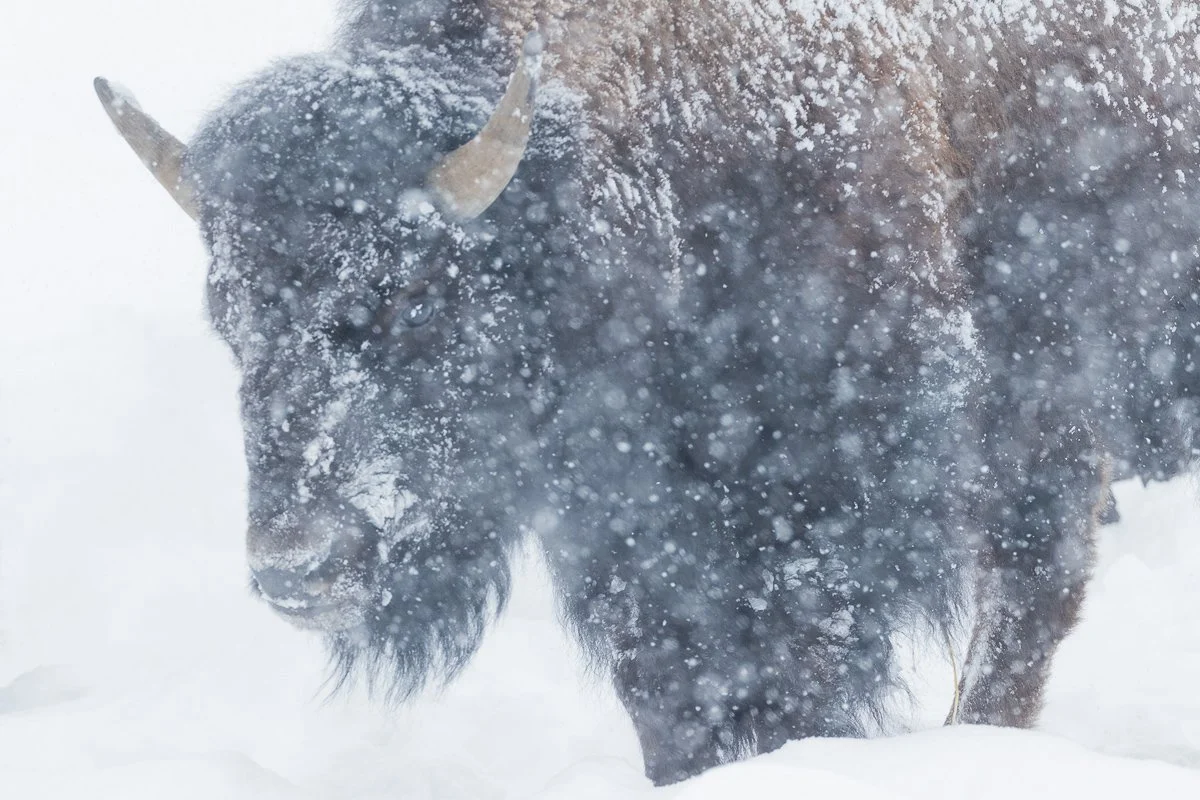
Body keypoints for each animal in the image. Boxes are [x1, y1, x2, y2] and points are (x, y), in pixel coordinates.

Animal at [96, 0, 1198, 785]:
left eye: (413, 297)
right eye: (231, 320)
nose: (297, 567)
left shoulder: (838, 508)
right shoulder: (627, 542)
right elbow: (671, 697)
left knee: (1028, 594)